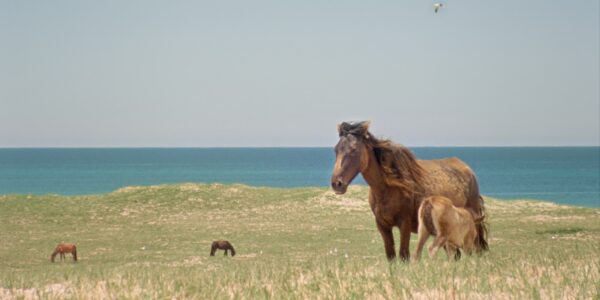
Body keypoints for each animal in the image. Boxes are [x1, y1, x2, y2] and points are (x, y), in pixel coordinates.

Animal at [330, 121, 490, 260]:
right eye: (336, 150)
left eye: (354, 149)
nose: (337, 183)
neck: (387, 190)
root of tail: (468, 170)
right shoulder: (383, 226)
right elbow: (391, 256)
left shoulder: (404, 225)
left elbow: (404, 255)